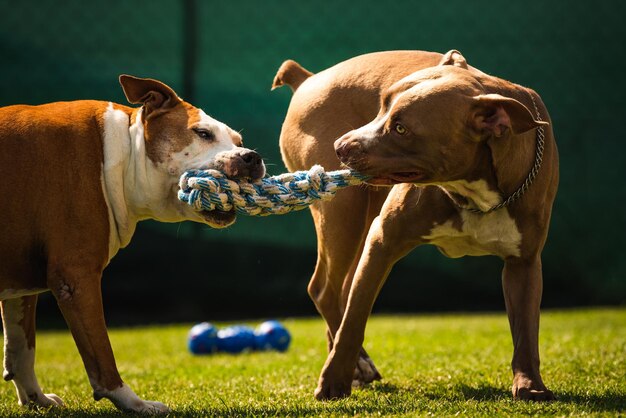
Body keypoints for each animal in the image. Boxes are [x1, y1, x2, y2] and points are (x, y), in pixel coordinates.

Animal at [0, 75, 264, 412]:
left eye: (239, 142)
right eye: (203, 133)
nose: (251, 157)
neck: (120, 154)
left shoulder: (22, 284)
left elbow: (22, 348)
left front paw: (36, 399)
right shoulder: (76, 277)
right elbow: (102, 354)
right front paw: (134, 403)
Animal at [276, 51, 560, 402]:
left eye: (401, 128)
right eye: (381, 106)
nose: (339, 146)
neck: (474, 191)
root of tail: (308, 78)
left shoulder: (524, 263)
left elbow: (526, 328)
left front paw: (530, 384)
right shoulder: (383, 240)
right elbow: (355, 319)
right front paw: (333, 382)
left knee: (341, 290)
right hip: (344, 214)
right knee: (325, 290)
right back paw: (358, 365)